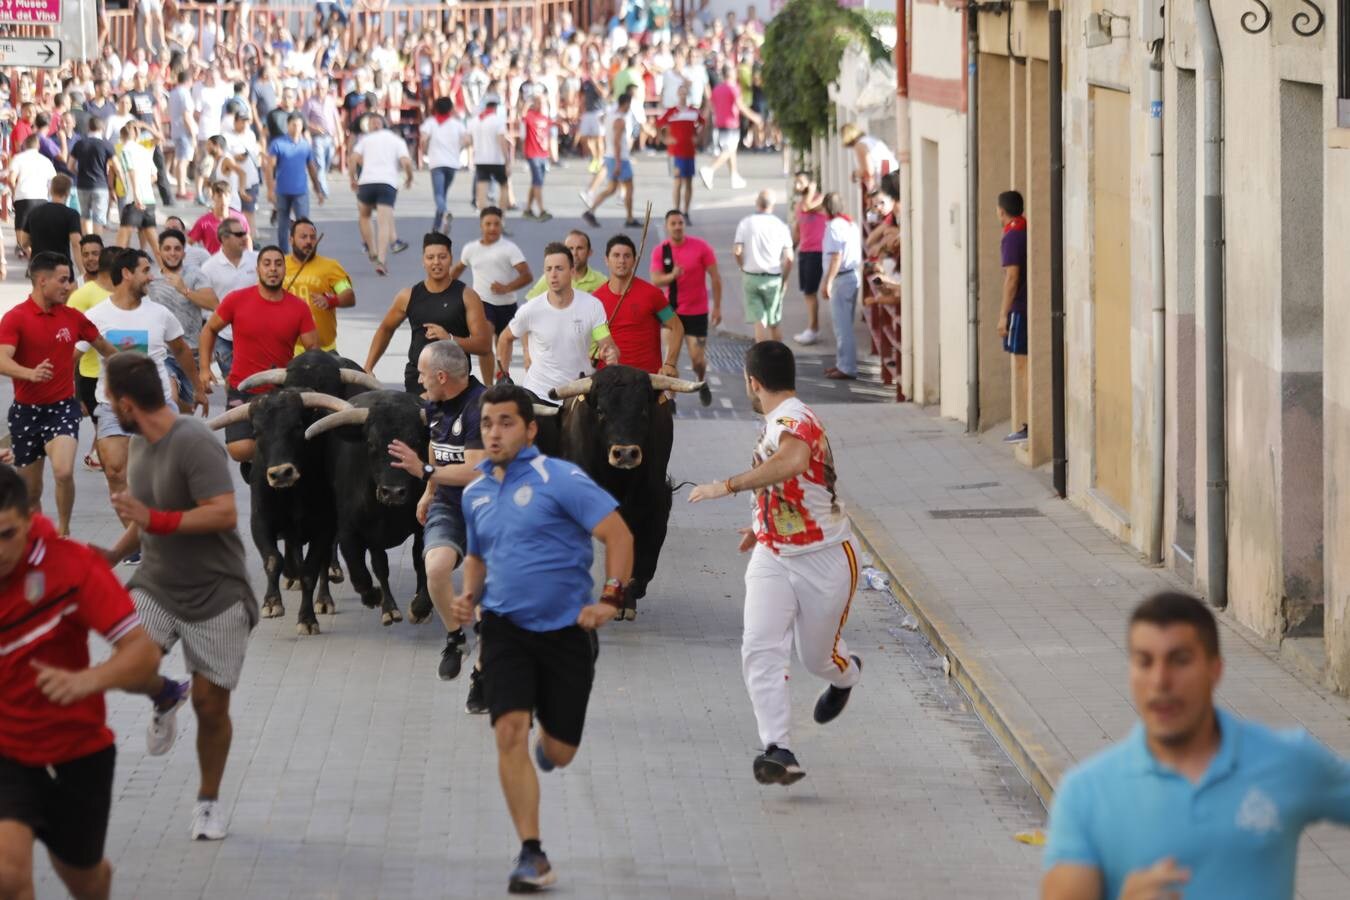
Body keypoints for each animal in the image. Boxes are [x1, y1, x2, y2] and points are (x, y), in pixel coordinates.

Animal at [550, 367, 712, 620]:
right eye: (601, 411)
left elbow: (644, 554)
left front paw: (628, 599)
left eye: (643, 410)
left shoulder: (653, 503)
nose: (625, 453)